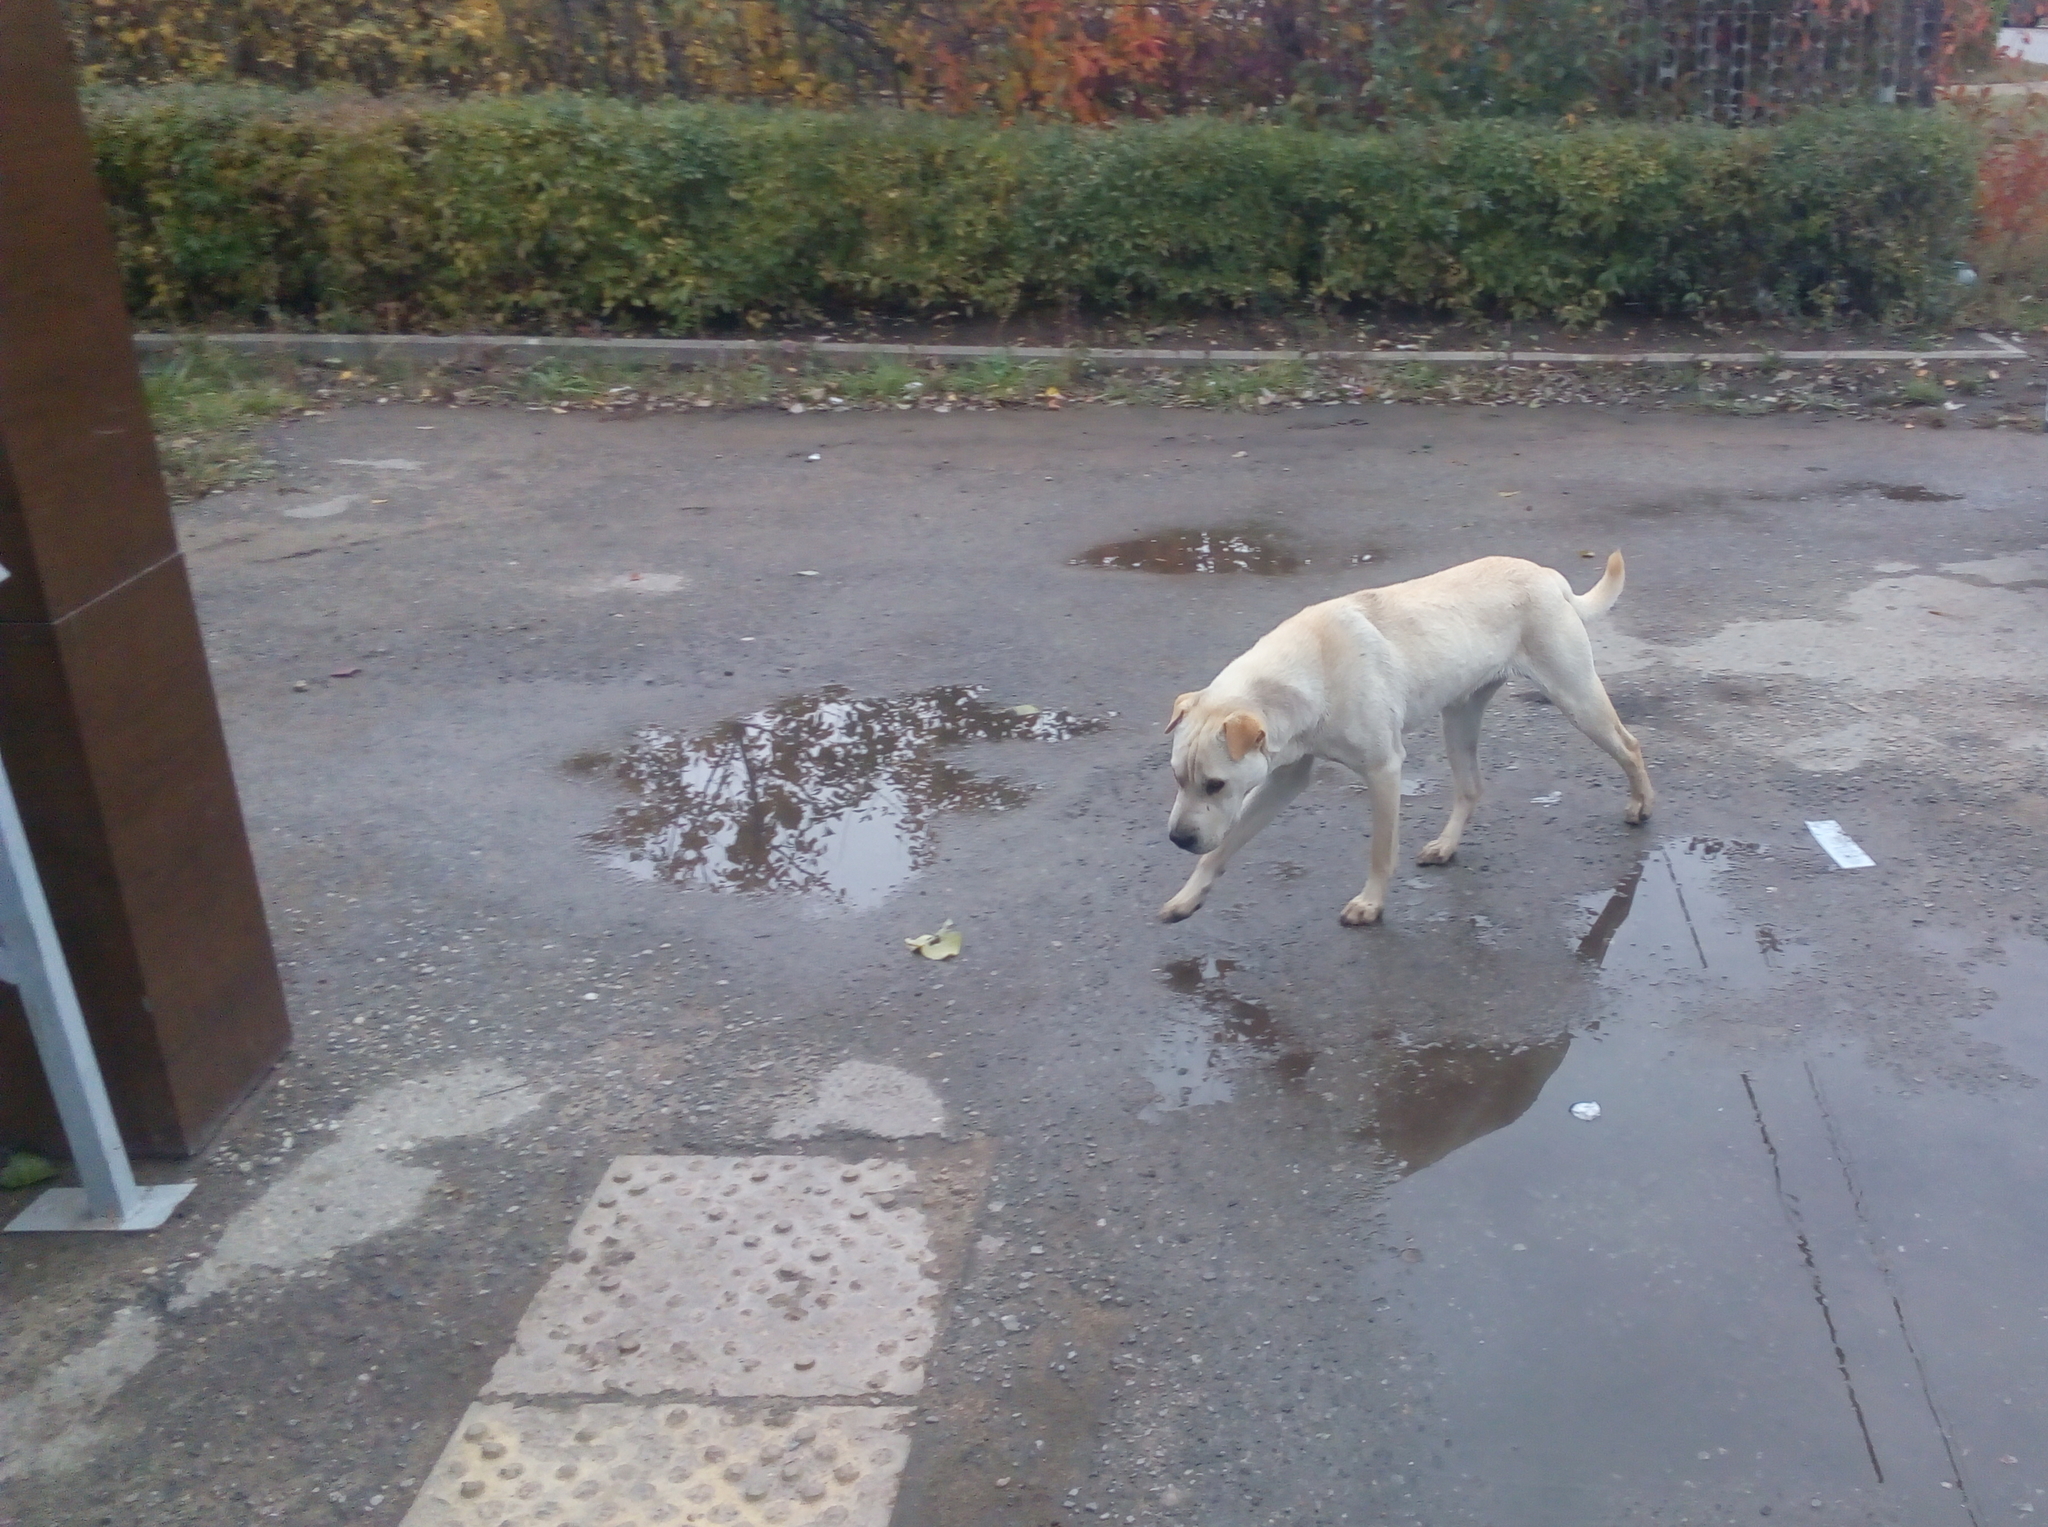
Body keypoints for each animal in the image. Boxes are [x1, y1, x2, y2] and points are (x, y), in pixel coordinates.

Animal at [1171, 552, 1646, 921]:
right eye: (1178, 778)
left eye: (1215, 785)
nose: (1177, 840)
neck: (1307, 670)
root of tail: (1548, 575)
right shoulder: (1283, 778)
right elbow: (1220, 849)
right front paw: (1187, 897)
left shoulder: (1383, 770)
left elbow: (1381, 851)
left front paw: (1370, 904)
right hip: (1458, 719)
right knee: (1471, 788)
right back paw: (1447, 845)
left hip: (1576, 697)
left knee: (1631, 746)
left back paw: (1642, 804)